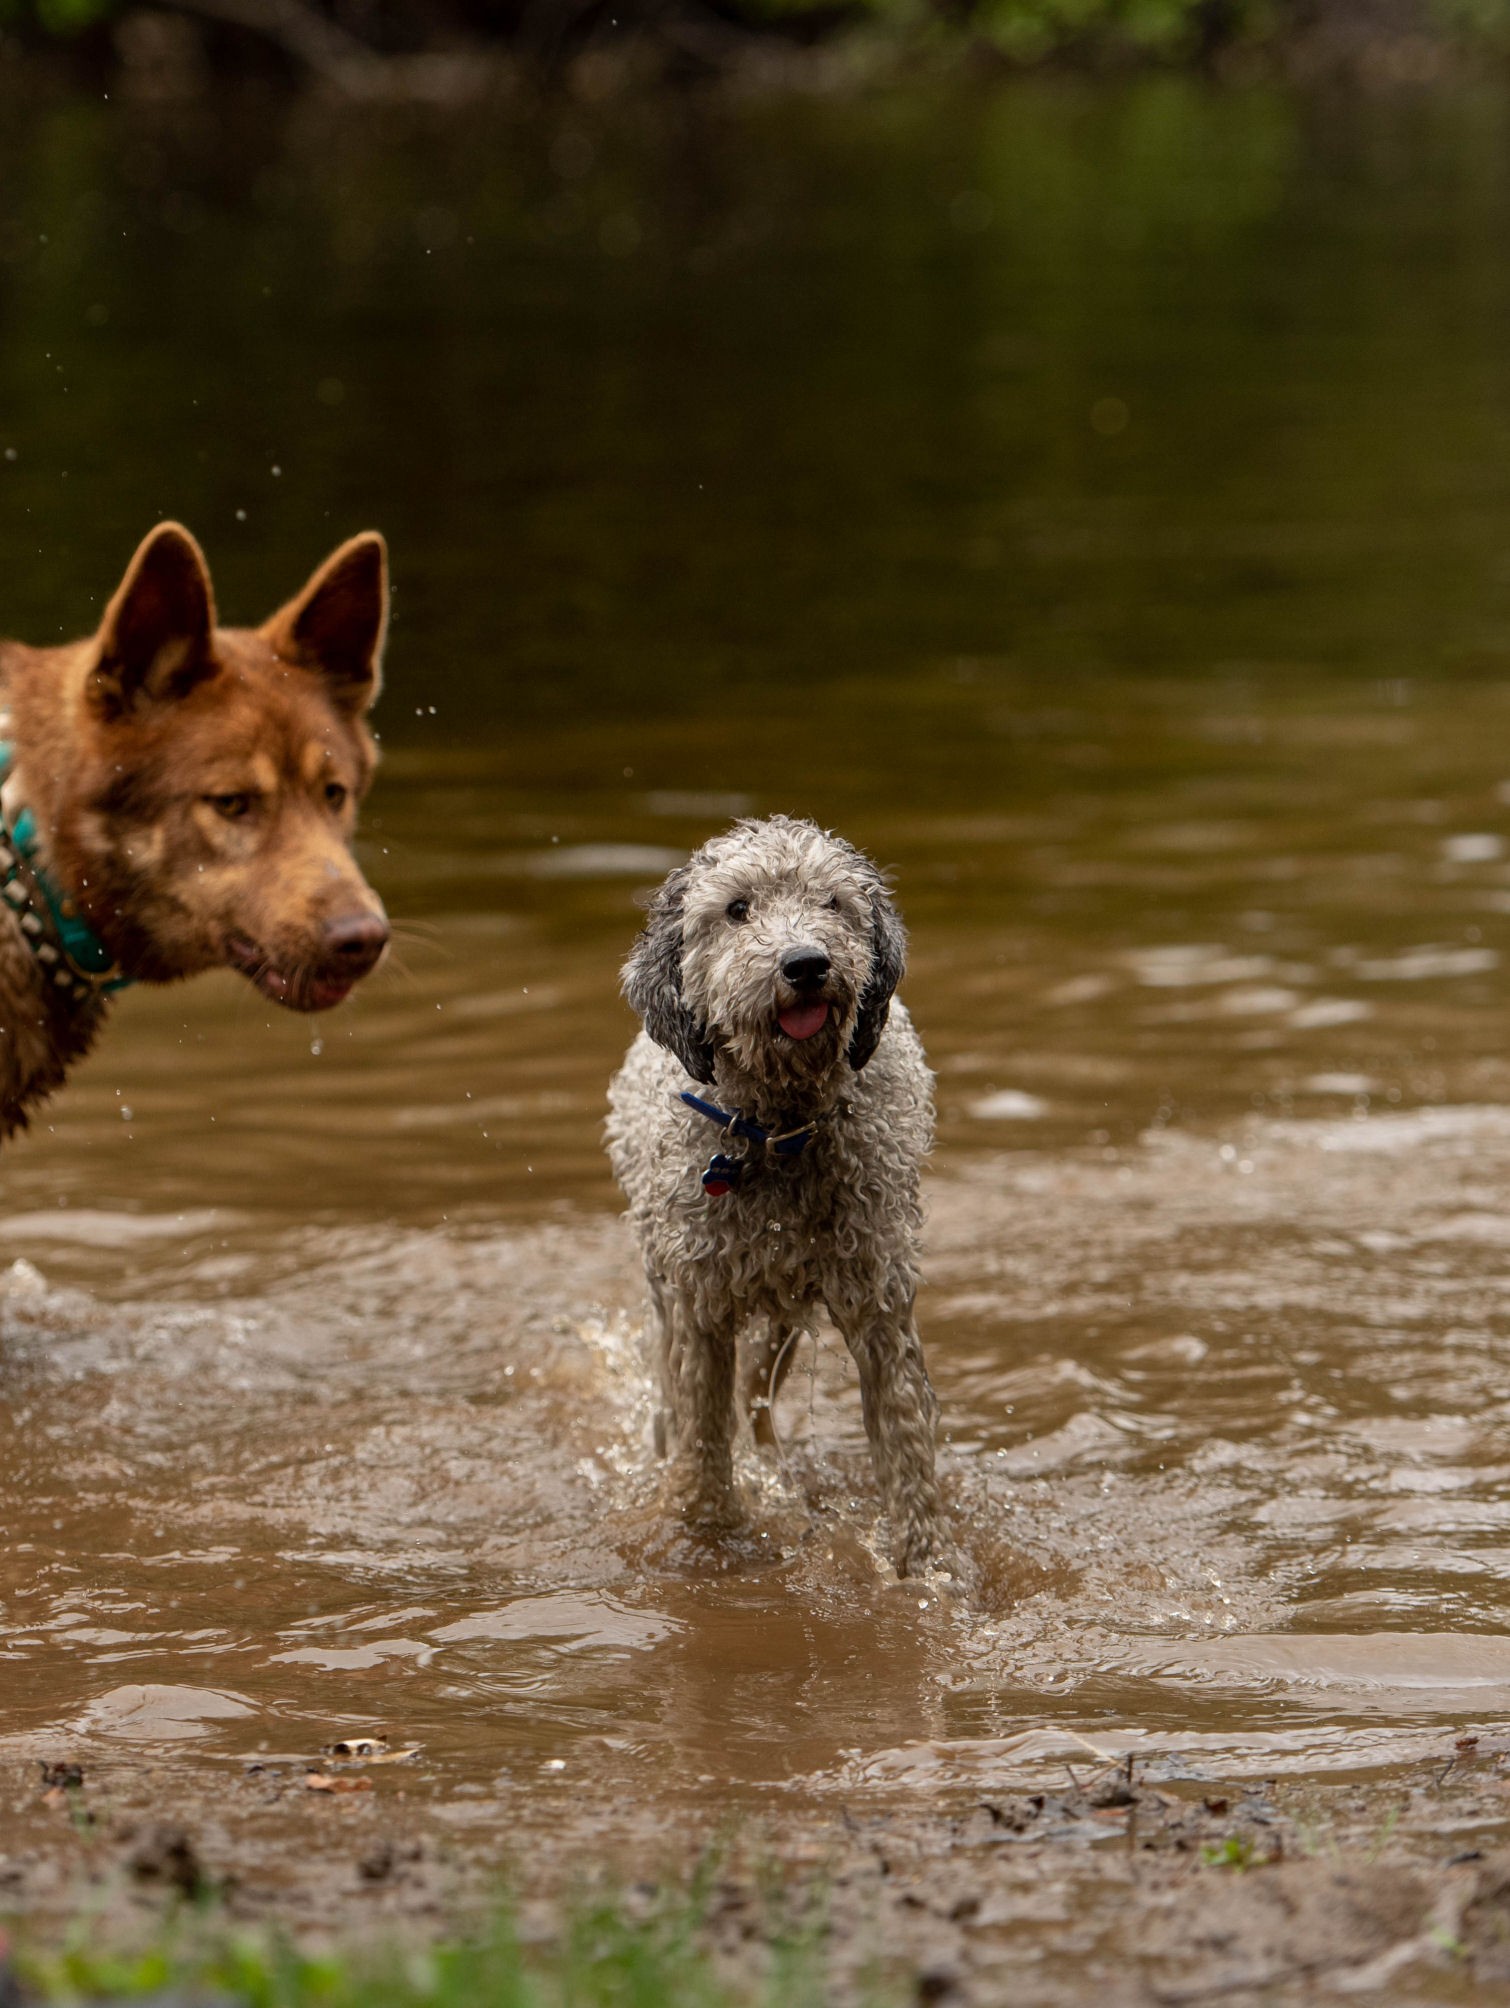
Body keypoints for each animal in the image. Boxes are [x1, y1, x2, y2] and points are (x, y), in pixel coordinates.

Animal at [606, 811, 939, 1566]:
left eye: (832, 902)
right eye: (737, 909)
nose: (806, 964)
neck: (779, 1130)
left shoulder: (878, 1300)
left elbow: (906, 1445)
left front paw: (924, 1569)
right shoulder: (699, 1309)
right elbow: (702, 1438)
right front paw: (706, 1536)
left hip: (783, 1316)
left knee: (757, 1398)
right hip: (668, 1293)